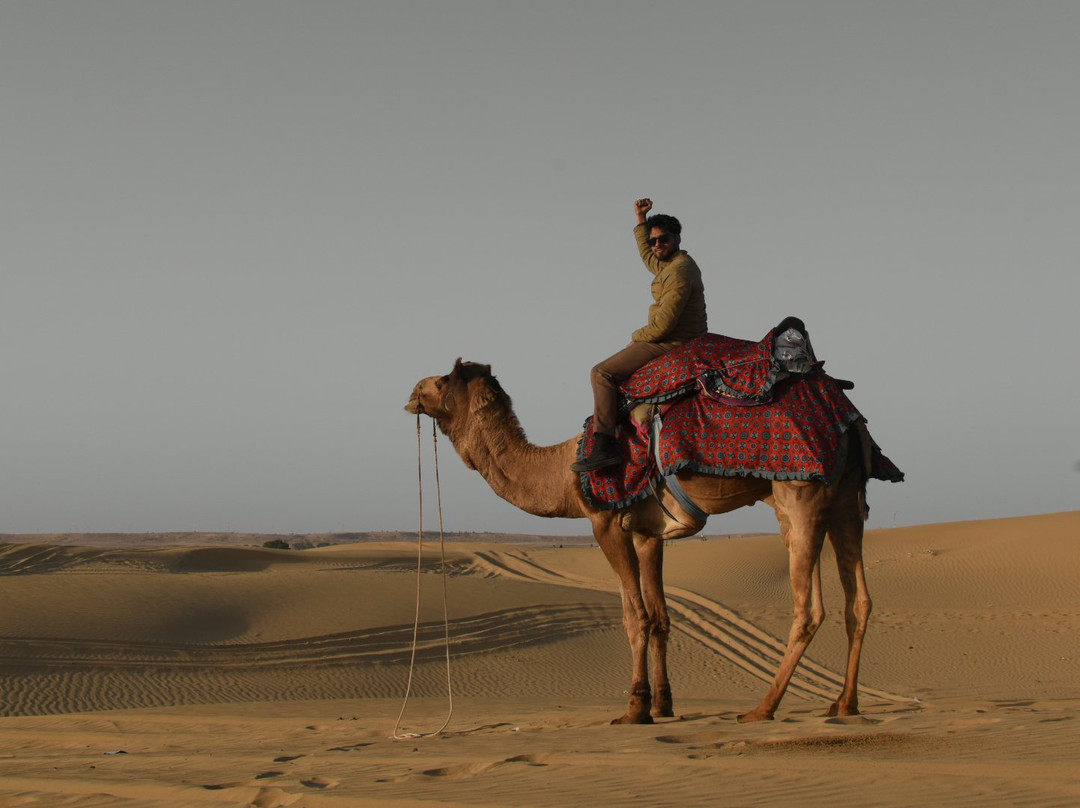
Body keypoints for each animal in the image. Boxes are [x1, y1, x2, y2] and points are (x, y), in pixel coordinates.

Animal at [406, 360, 876, 725]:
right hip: (844, 501)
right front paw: (664, 705)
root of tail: (847, 418)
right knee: (858, 601)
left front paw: (634, 709)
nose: (412, 391)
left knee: (809, 609)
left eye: (442, 381)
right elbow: (661, 617)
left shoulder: (606, 522)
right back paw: (844, 704)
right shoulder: (649, 534)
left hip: (798, 495)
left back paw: (764, 708)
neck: (563, 471)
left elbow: (635, 616)